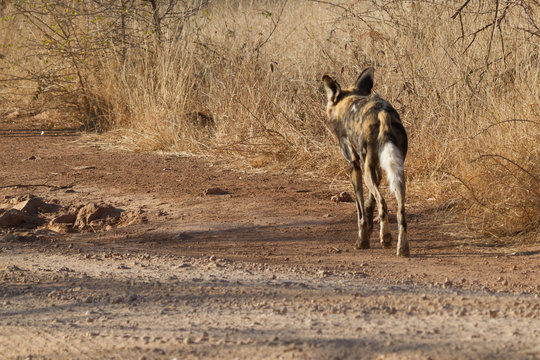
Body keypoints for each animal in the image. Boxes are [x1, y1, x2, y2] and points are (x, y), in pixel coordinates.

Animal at [320, 68, 410, 256]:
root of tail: (383, 113)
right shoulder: (376, 169)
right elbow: (369, 203)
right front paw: (368, 232)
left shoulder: (355, 165)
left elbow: (360, 210)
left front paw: (362, 241)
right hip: (396, 172)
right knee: (400, 211)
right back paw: (402, 248)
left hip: (367, 171)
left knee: (383, 204)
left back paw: (386, 238)